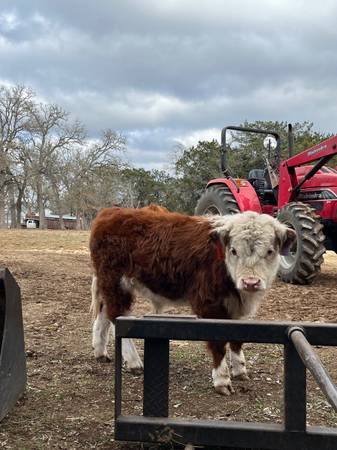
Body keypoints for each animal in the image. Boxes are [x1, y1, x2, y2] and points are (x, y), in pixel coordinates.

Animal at [90, 207, 294, 394]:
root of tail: (111, 212)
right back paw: (133, 362)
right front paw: (222, 380)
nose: (250, 282)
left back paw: (100, 351)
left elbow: (237, 338)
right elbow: (219, 342)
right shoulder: (209, 305)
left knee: (104, 313)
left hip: (108, 284)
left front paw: (240, 370)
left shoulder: (235, 308)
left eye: (270, 251)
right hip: (116, 283)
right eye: (234, 250)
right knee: (116, 316)